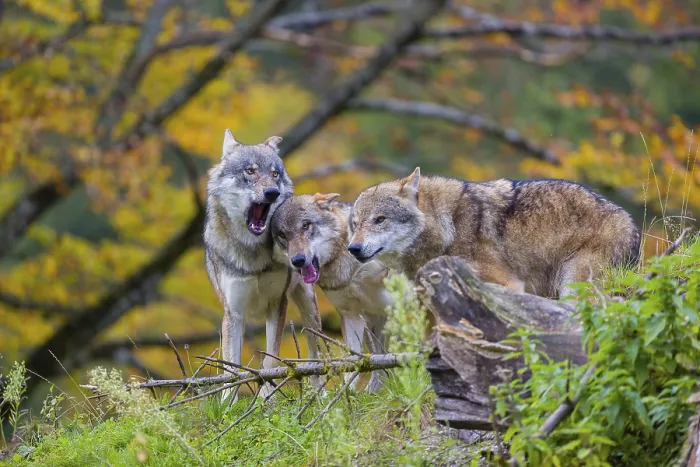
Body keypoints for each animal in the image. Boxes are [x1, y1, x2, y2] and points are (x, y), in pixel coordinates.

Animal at [204, 130, 322, 399]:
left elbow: (270, 360)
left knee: (318, 353)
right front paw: (228, 404)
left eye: (275, 174)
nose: (272, 192)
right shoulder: (234, 313)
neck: (253, 253)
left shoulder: (277, 304)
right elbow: (231, 370)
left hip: (308, 306)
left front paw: (267, 398)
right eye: (250, 171)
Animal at [270, 193, 393, 392]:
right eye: (282, 234)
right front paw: (347, 394)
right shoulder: (351, 314)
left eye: (305, 225)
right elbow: (351, 361)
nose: (298, 260)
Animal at [347, 168, 640, 299]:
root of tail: (632, 225)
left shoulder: (509, 285)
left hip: (574, 285)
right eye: (355, 224)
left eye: (379, 220)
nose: (353, 248)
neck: (448, 228)